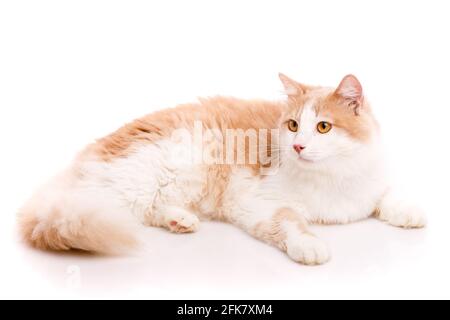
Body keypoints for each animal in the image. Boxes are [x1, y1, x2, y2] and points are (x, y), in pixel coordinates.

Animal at [17, 74, 426, 264]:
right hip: (148, 178)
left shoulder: (369, 184)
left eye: (323, 127)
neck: (331, 177)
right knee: (127, 209)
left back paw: (180, 221)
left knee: (152, 209)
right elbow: (291, 223)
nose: (297, 145)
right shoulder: (258, 202)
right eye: (293, 125)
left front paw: (410, 212)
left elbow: (386, 197)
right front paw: (309, 246)